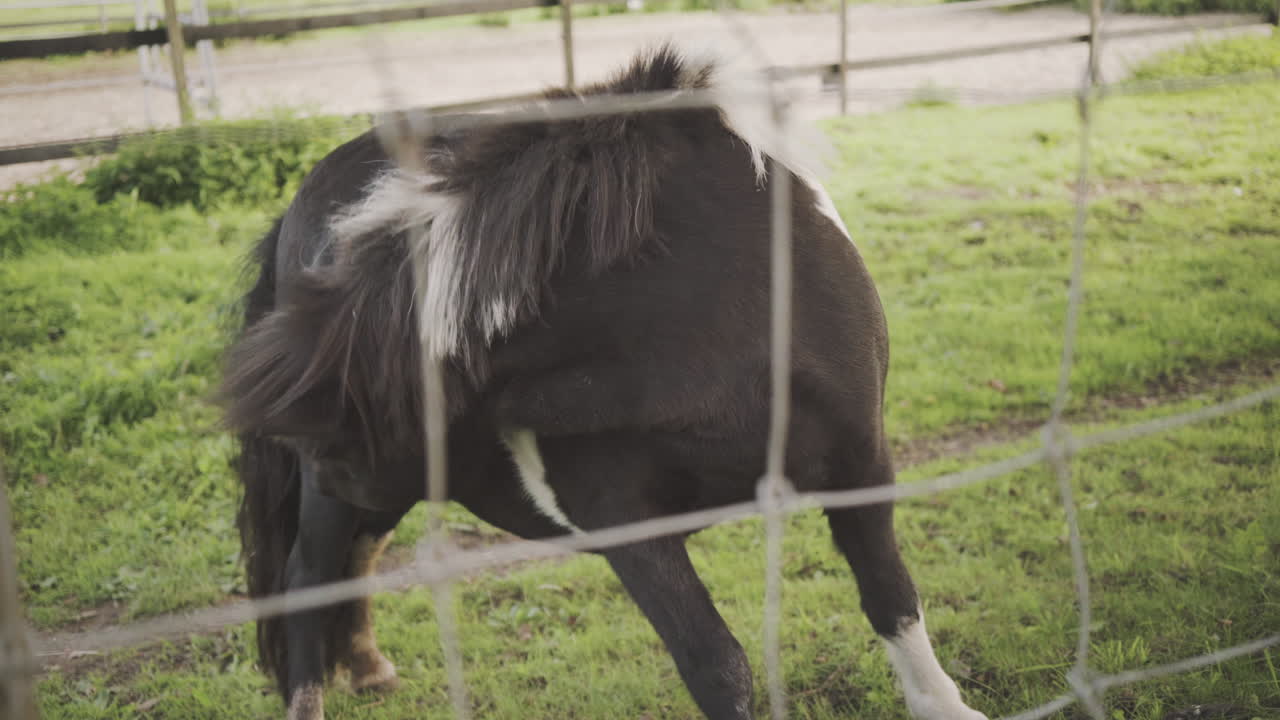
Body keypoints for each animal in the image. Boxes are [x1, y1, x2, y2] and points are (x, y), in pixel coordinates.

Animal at [220, 44, 987, 720]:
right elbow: (718, 665)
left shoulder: (861, 460)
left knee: (355, 553)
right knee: (306, 578)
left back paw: (368, 665)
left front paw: (945, 706)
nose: (320, 461)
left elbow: (891, 595)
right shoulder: (619, 514)